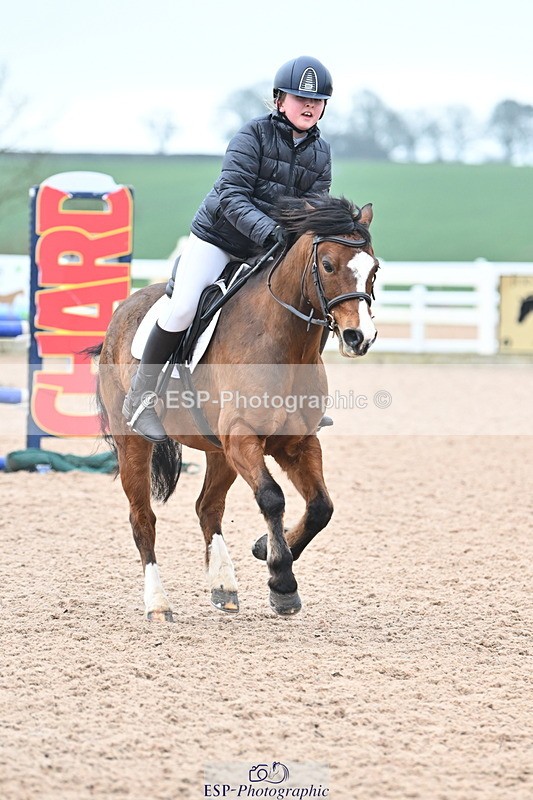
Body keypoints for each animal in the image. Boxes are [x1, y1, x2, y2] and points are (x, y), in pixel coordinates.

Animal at [94, 195, 380, 622]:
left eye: (374, 270)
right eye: (328, 265)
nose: (359, 337)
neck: (287, 344)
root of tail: (123, 309)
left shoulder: (296, 442)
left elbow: (321, 507)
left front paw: (266, 548)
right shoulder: (243, 436)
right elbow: (273, 498)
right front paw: (282, 582)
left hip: (218, 450)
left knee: (207, 508)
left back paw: (223, 586)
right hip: (135, 443)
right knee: (142, 518)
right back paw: (158, 604)